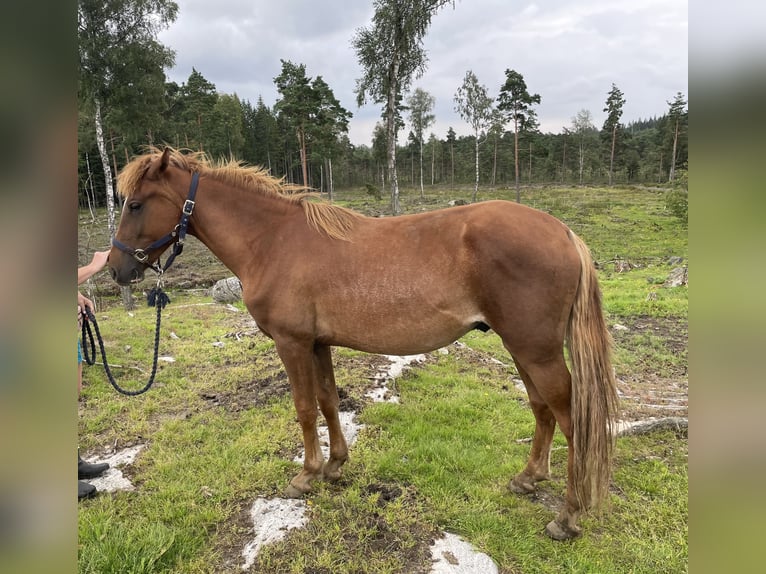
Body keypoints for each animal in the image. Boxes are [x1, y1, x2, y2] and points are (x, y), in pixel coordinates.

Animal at [107, 147, 619, 540]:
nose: (116, 269)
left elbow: (303, 408)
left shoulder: (292, 343)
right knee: (541, 408)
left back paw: (568, 517)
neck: (272, 241)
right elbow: (329, 401)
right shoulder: (318, 344)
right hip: (522, 349)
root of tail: (564, 232)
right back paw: (528, 479)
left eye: (136, 204)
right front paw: (335, 466)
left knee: (571, 419)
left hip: (537, 351)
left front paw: (306, 475)